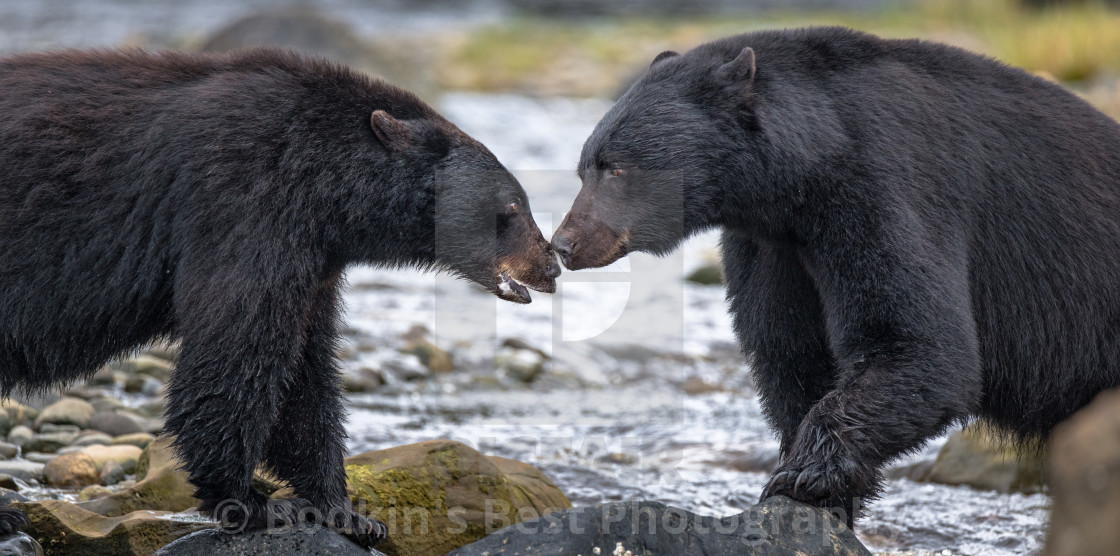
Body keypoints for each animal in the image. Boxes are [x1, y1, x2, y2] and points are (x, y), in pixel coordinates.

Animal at [0, 48, 560, 547]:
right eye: (514, 205)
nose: (552, 265)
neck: (324, 183)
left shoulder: (313, 261)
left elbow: (304, 375)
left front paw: (346, 512)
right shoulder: (245, 206)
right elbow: (238, 352)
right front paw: (253, 503)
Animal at [553, 28, 1120, 524]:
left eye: (616, 167)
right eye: (584, 168)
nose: (564, 243)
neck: (805, 175)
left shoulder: (888, 193)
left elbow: (920, 345)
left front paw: (800, 476)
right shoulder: (774, 248)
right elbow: (792, 351)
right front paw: (827, 493)